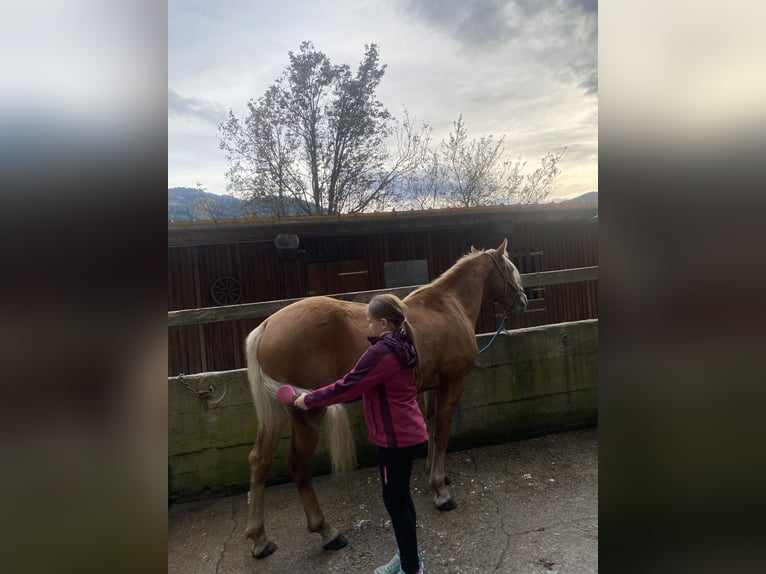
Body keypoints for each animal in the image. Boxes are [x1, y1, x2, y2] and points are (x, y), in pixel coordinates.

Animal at [244, 238, 528, 560]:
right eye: (511, 268)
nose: (523, 299)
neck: (447, 306)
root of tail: (267, 325)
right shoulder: (452, 384)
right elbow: (442, 432)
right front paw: (441, 492)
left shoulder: (431, 386)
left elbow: (431, 427)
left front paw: (437, 475)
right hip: (307, 414)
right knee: (299, 465)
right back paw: (327, 532)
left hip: (278, 412)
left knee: (259, 461)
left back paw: (260, 539)